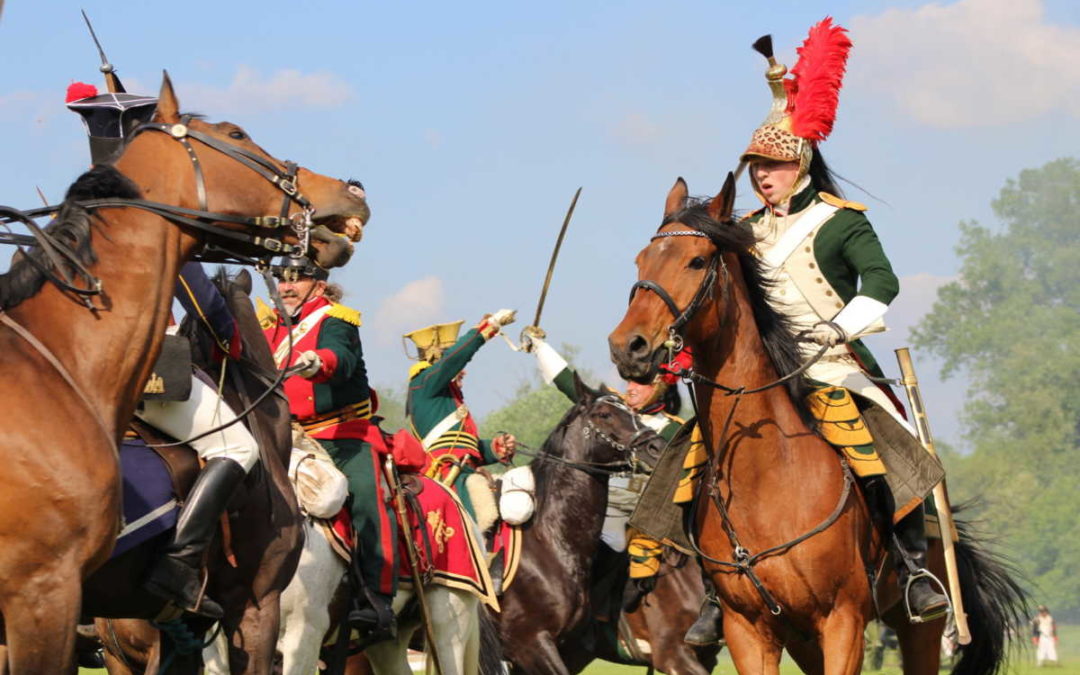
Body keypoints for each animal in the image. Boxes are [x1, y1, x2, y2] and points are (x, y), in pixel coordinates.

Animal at [613, 176, 1023, 669]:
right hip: (801, 640)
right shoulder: (749, 631)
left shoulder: (842, 622)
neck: (766, 475)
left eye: (697, 260)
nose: (627, 347)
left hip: (918, 629)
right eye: (640, 260)